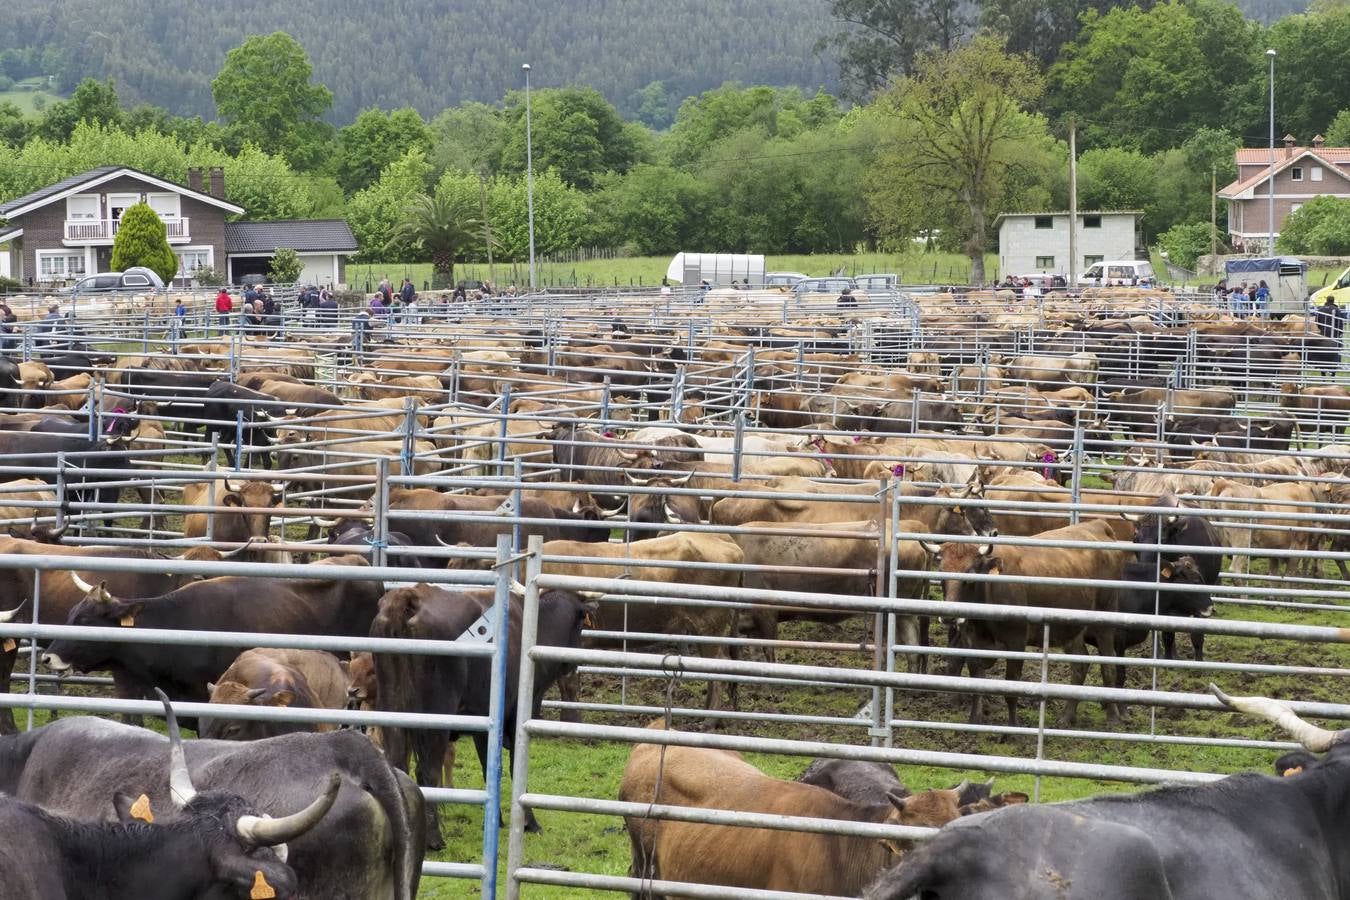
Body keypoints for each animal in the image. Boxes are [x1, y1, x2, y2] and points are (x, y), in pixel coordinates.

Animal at [369, 580, 591, 847]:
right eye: (581, 623)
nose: (572, 665)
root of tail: (408, 597)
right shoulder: (515, 720)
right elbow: (515, 769)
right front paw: (529, 822)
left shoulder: (483, 724)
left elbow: (490, 768)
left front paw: (496, 821)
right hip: (434, 720)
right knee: (426, 772)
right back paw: (434, 838)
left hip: (392, 712)